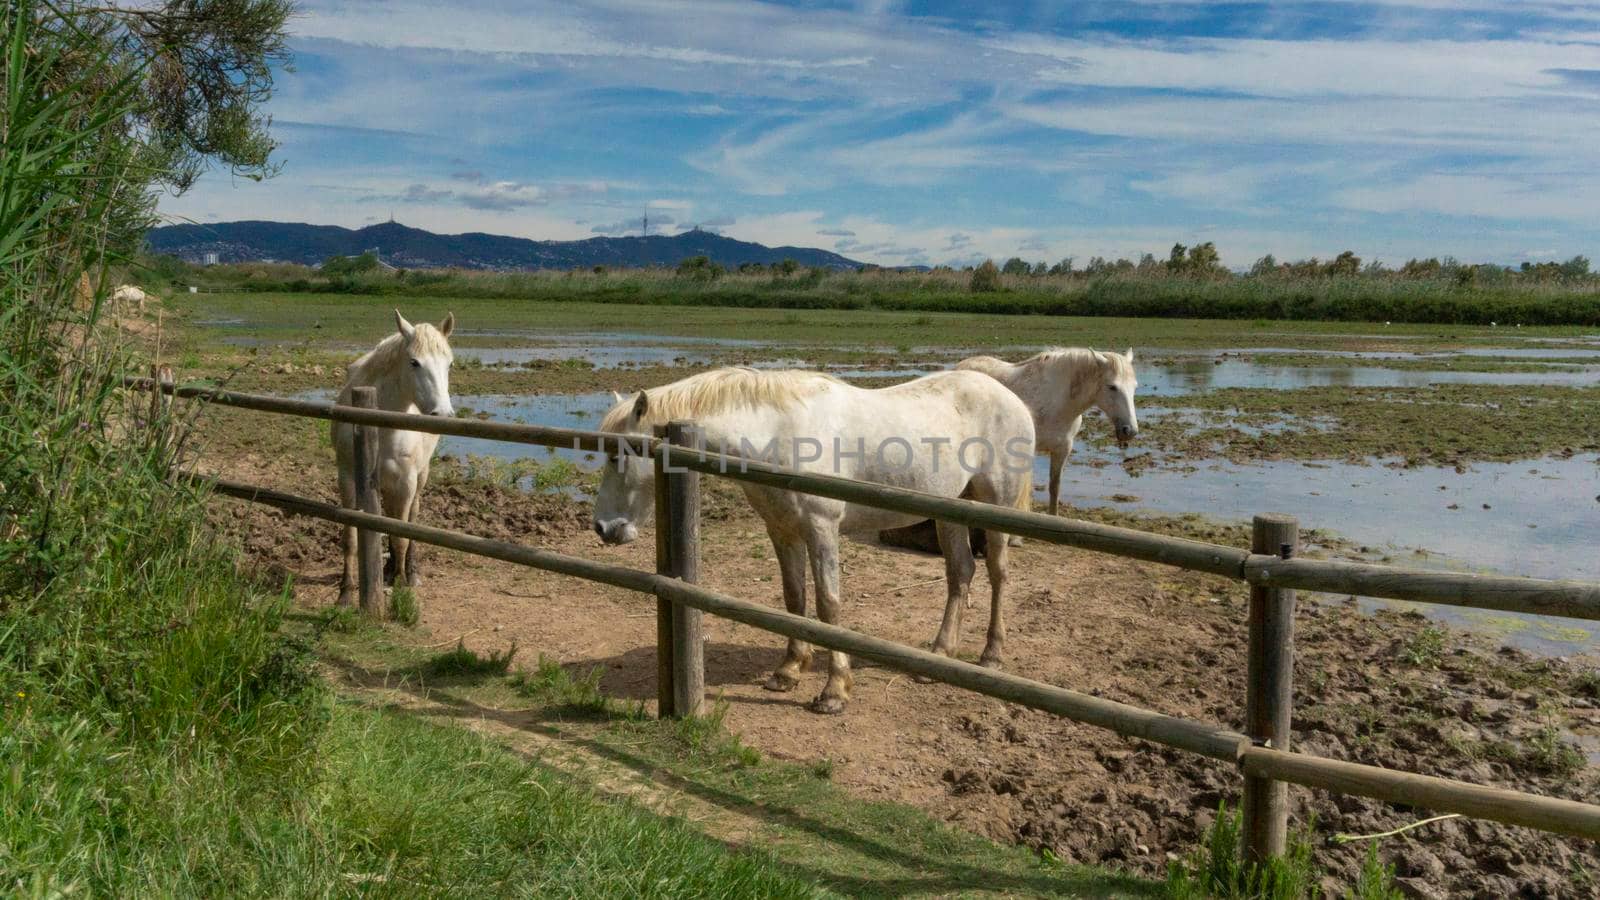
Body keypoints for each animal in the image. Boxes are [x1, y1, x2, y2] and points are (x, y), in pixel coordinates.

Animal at [332, 310, 454, 602]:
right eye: (414, 362)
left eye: (450, 365)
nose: (443, 414)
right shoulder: (347, 478)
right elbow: (351, 537)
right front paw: (346, 591)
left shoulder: (406, 482)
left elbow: (402, 535)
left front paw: (400, 583)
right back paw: (388, 570)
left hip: (419, 478)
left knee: (412, 519)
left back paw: (409, 571)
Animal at [592, 368, 1036, 711]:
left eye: (619, 454)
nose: (603, 528)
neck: (776, 434)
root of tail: (1013, 399)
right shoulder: (782, 529)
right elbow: (794, 598)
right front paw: (788, 670)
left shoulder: (822, 528)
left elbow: (828, 604)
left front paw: (834, 690)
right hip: (953, 510)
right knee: (960, 573)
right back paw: (941, 655)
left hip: (996, 507)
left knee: (998, 574)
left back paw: (991, 655)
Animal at [947, 349, 1139, 515]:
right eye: (1112, 387)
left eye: (1134, 387)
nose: (1130, 430)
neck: (1058, 402)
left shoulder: (1062, 449)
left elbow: (1055, 486)